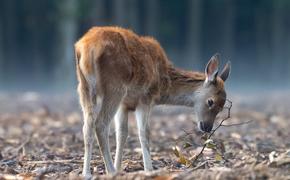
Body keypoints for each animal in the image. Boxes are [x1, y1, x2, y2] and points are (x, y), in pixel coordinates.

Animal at [75, 26, 231, 178]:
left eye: (222, 107)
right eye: (210, 101)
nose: (207, 127)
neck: (163, 85)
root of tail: (87, 49)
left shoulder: (124, 104)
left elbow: (122, 134)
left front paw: (119, 168)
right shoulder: (145, 98)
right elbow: (144, 133)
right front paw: (148, 170)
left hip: (84, 87)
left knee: (87, 126)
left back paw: (87, 173)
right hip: (115, 87)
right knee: (100, 124)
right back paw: (109, 171)